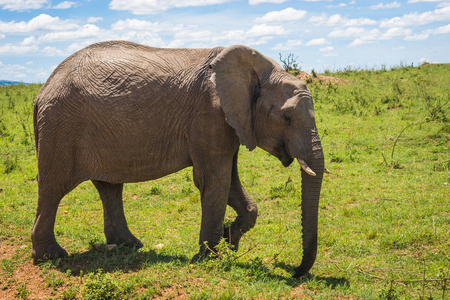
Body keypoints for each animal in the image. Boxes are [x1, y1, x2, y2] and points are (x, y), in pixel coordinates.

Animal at [33, 39, 326, 276]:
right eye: (286, 118)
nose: (293, 271)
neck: (261, 69)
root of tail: (41, 91)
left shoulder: (230, 121)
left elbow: (229, 180)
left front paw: (231, 240)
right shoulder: (209, 114)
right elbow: (214, 180)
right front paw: (207, 258)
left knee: (109, 186)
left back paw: (130, 245)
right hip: (61, 126)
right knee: (53, 189)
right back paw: (52, 256)